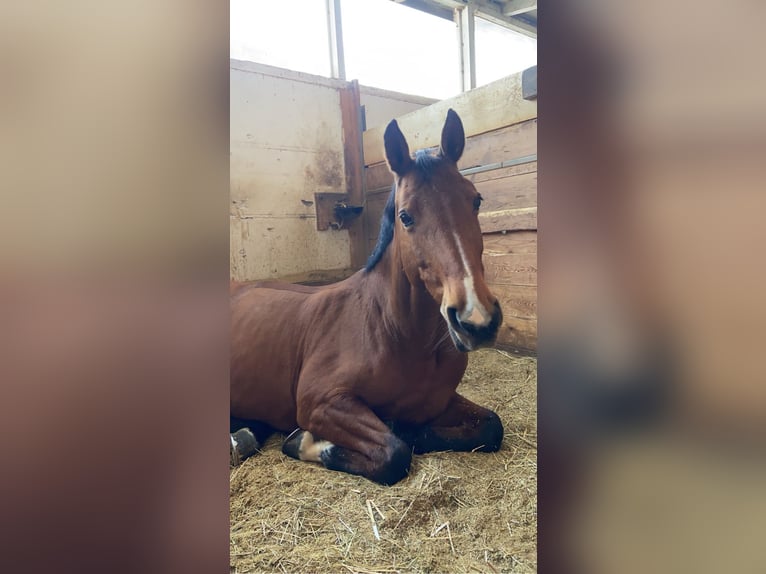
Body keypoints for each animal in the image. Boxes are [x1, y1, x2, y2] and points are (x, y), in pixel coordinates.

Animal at [234, 109, 508, 486]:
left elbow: (491, 427)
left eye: (476, 200)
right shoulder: (322, 402)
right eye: (405, 216)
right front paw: (306, 442)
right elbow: (394, 452)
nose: (476, 318)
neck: (394, 332)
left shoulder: (440, 401)